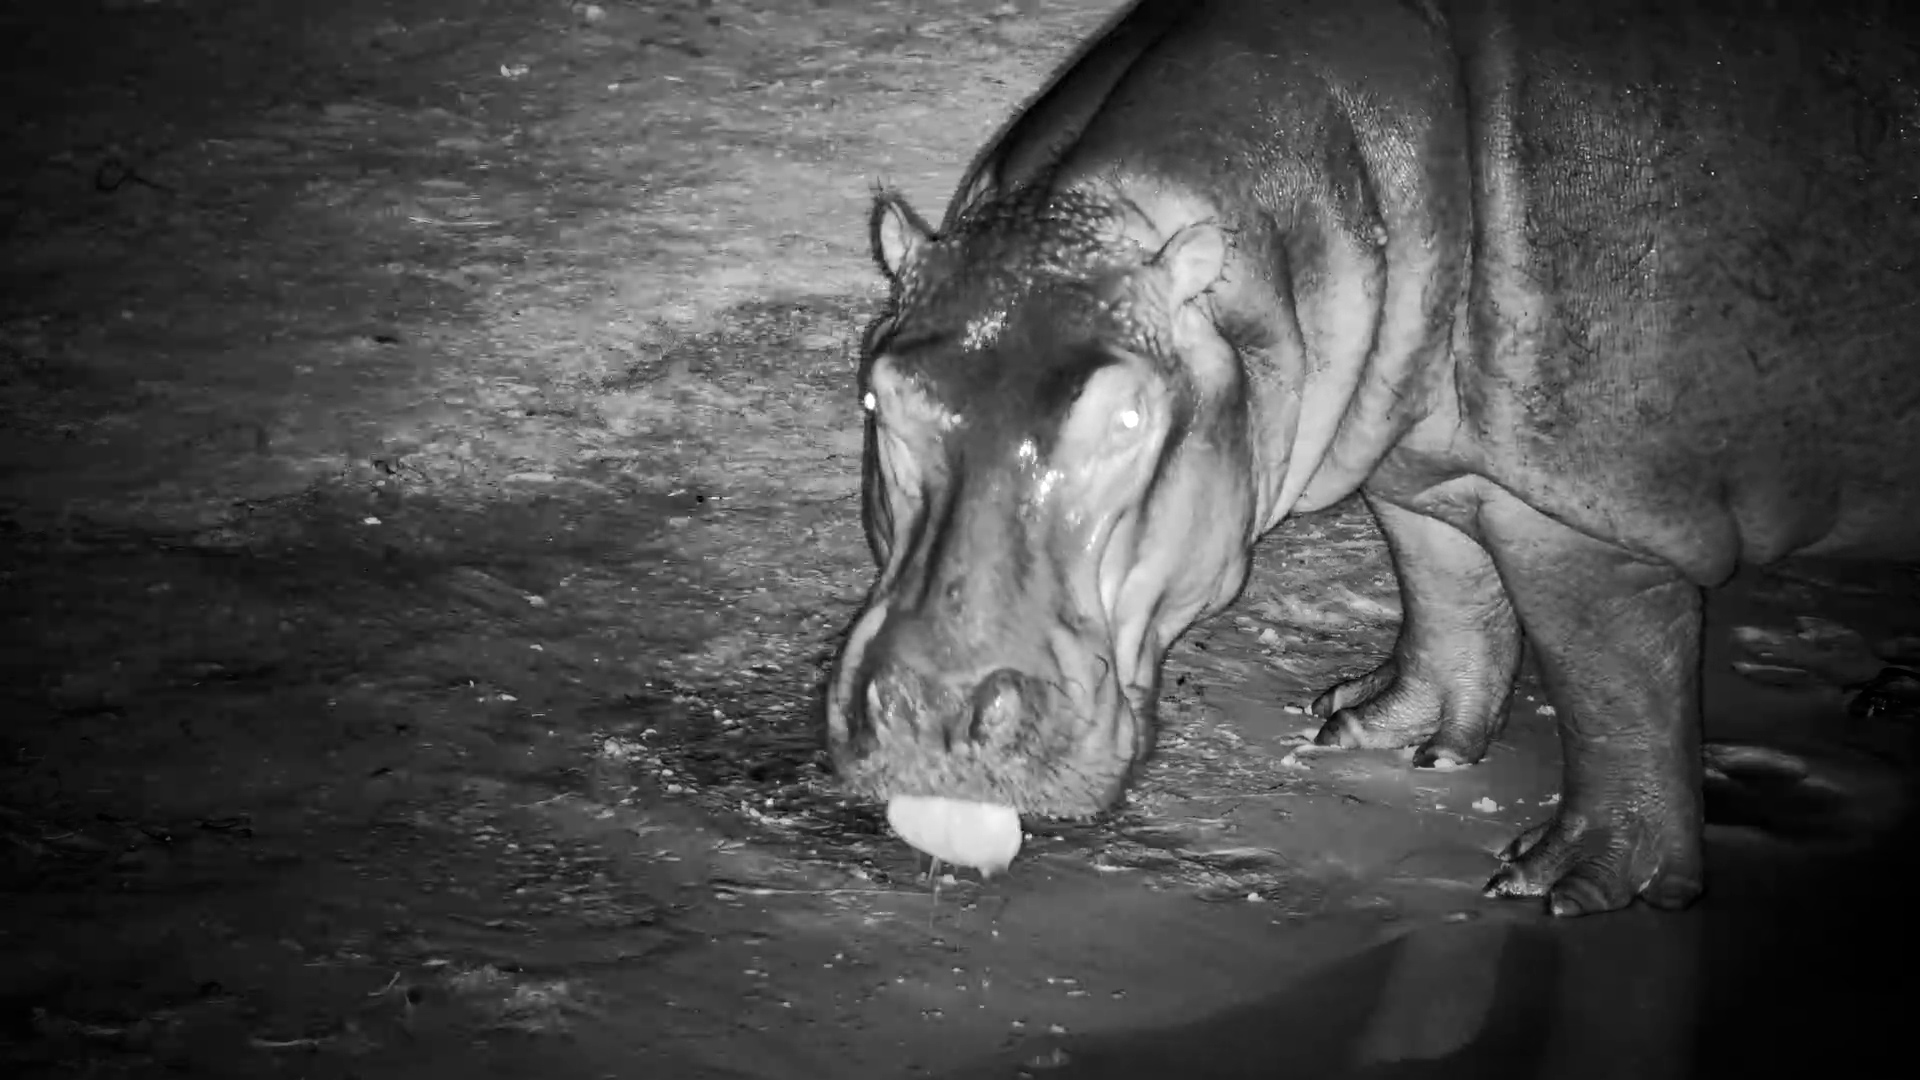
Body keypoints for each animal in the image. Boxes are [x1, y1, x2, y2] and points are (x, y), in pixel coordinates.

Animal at [825, 0, 1920, 916]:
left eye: (1128, 417)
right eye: (878, 391)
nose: (930, 716)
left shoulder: (1584, 519)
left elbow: (1613, 690)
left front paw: (1565, 883)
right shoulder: (1416, 456)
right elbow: (1447, 593)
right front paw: (1371, 727)